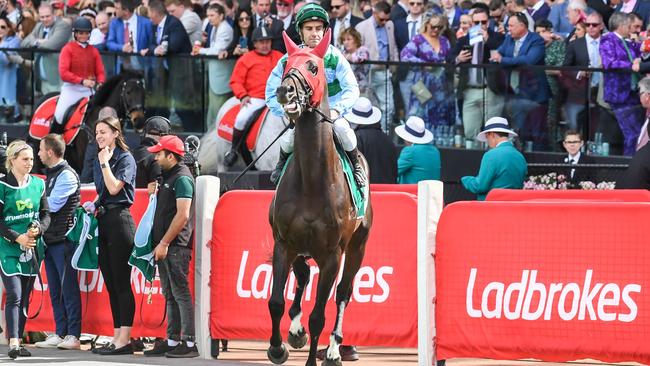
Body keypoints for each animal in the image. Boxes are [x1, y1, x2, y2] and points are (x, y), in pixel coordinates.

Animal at [266, 30, 372, 366]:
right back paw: (295, 331)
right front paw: (278, 347)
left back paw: (336, 348)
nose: (285, 90)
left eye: (313, 67)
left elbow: (319, 316)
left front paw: (316, 353)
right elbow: (276, 301)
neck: (312, 182)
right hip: (301, 248)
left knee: (343, 294)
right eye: (287, 64)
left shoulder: (332, 254)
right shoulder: (283, 243)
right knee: (301, 278)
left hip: (357, 247)